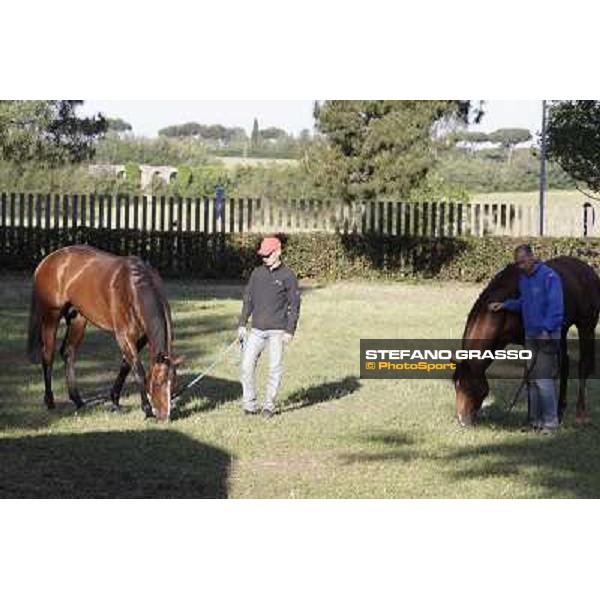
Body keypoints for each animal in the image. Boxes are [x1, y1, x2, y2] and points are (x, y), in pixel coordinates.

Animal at [27, 246, 183, 420]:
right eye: (158, 382)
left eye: (174, 383)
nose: (164, 416)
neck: (132, 286)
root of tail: (47, 260)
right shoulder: (124, 336)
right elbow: (139, 370)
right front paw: (146, 409)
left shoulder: (140, 339)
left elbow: (126, 366)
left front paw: (115, 400)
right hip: (51, 316)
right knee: (48, 355)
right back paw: (50, 401)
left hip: (78, 319)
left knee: (68, 352)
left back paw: (78, 400)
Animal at [454, 256, 600, 426]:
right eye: (456, 386)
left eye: (468, 387)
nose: (461, 420)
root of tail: (588, 269)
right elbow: (530, 377)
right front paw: (531, 418)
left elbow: (532, 376)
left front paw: (532, 420)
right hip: (561, 332)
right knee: (565, 364)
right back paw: (559, 411)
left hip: (586, 326)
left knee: (583, 365)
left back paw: (580, 413)